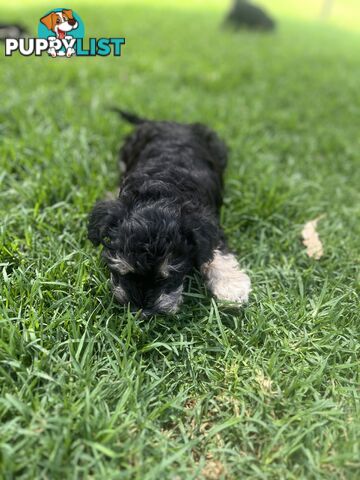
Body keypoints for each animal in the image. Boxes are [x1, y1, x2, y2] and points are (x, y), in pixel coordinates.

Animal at [88, 112, 250, 316]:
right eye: (123, 273)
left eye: (168, 277)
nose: (143, 312)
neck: (160, 194)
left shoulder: (209, 226)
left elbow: (217, 253)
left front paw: (232, 289)